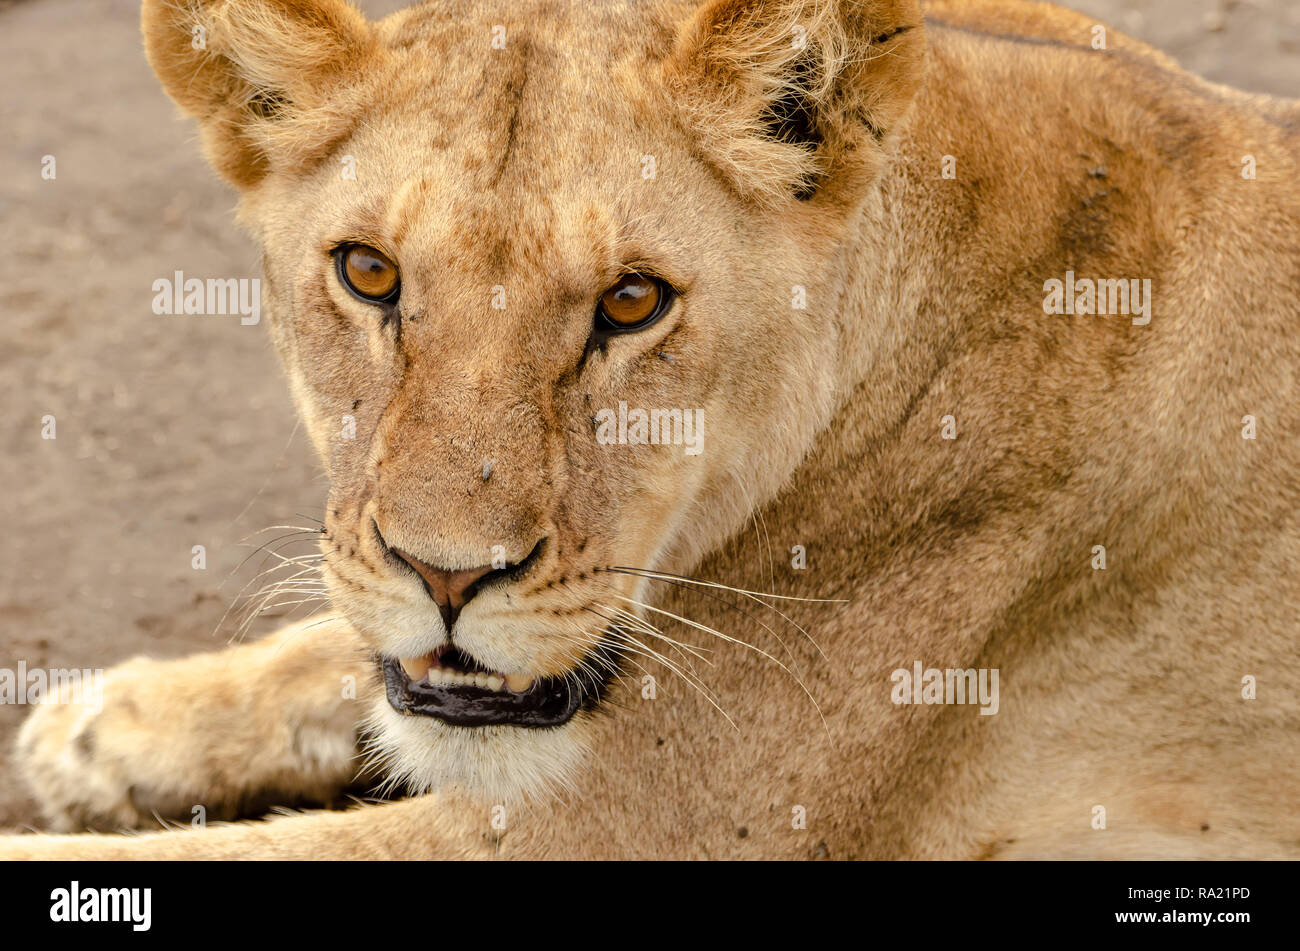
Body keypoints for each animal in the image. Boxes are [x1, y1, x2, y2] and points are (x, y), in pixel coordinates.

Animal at [2, 0, 1298, 859]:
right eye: (368, 273)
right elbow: (333, 636)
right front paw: (105, 732)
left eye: (632, 302)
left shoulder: (638, 830)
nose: (447, 576)